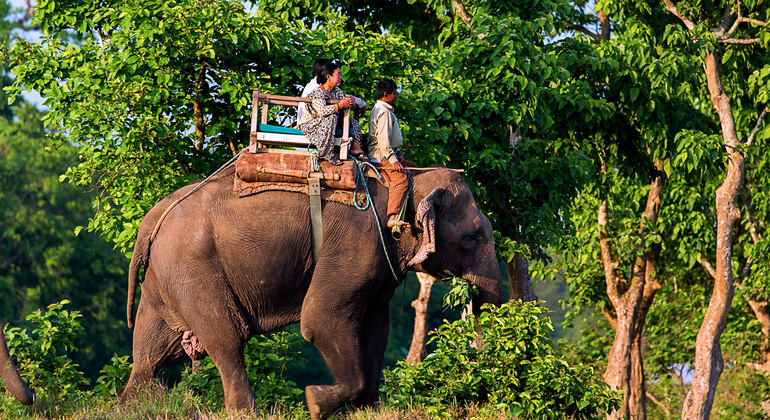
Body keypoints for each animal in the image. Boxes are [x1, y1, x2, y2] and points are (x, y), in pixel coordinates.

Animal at [121, 164, 502, 419]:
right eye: (472, 237)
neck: (408, 179)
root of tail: (153, 217)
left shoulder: (379, 262)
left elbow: (376, 328)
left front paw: (367, 411)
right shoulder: (354, 243)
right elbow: (320, 320)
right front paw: (316, 402)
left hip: (166, 279)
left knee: (150, 352)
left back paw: (130, 406)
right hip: (193, 270)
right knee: (227, 338)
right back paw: (246, 412)